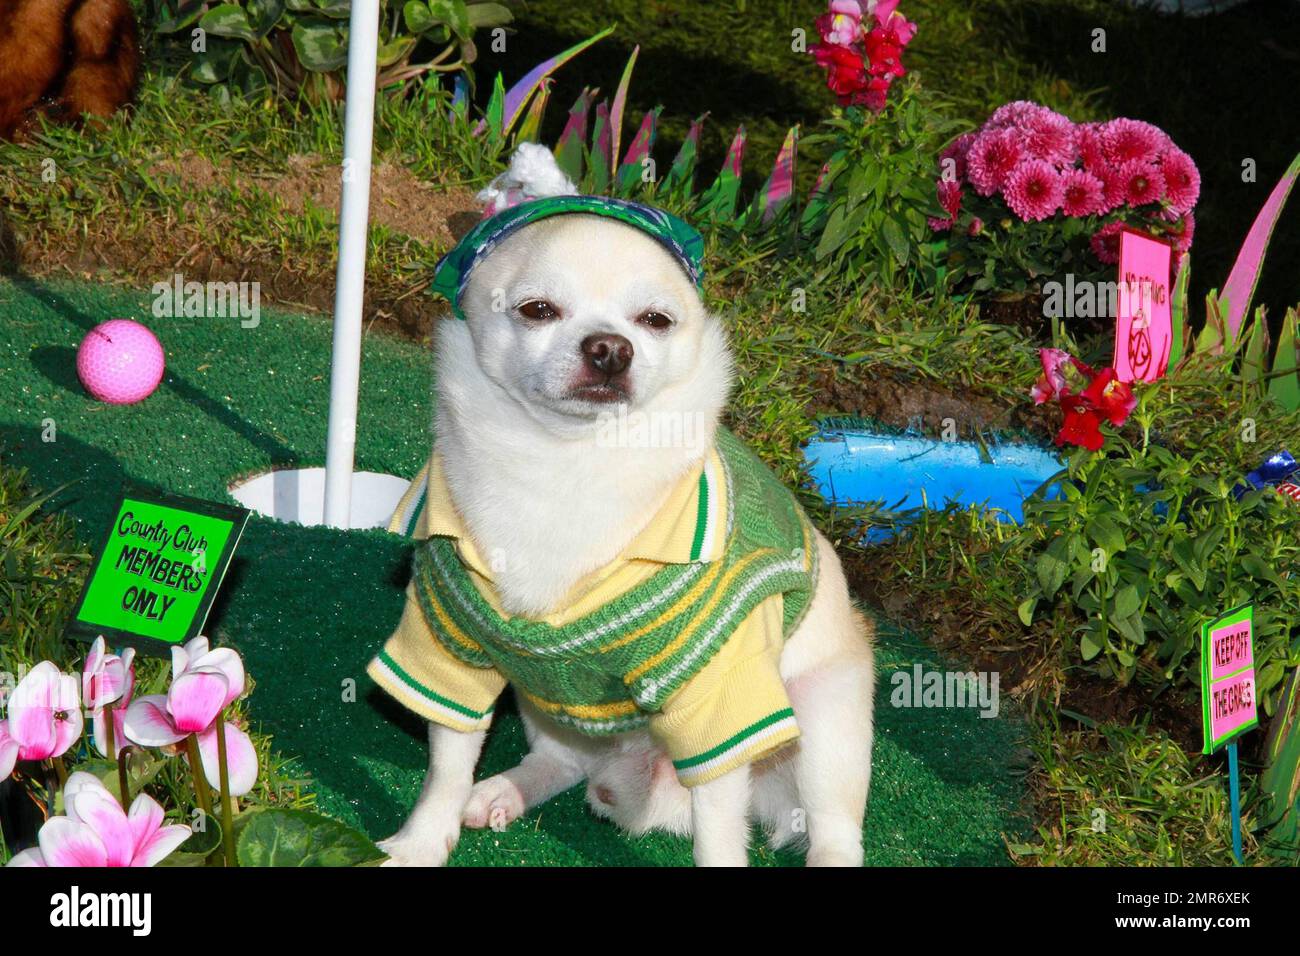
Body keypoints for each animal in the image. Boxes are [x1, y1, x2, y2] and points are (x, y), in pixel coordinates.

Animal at [377, 195, 878, 868]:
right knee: (561, 762)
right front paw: (421, 841)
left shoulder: (720, 703)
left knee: (833, 829)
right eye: (538, 310)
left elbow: (720, 831)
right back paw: (504, 790)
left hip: (823, 721)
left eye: (656, 320)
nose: (611, 347)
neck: (566, 465)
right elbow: (447, 763)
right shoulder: (448, 645)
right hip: (543, 703)